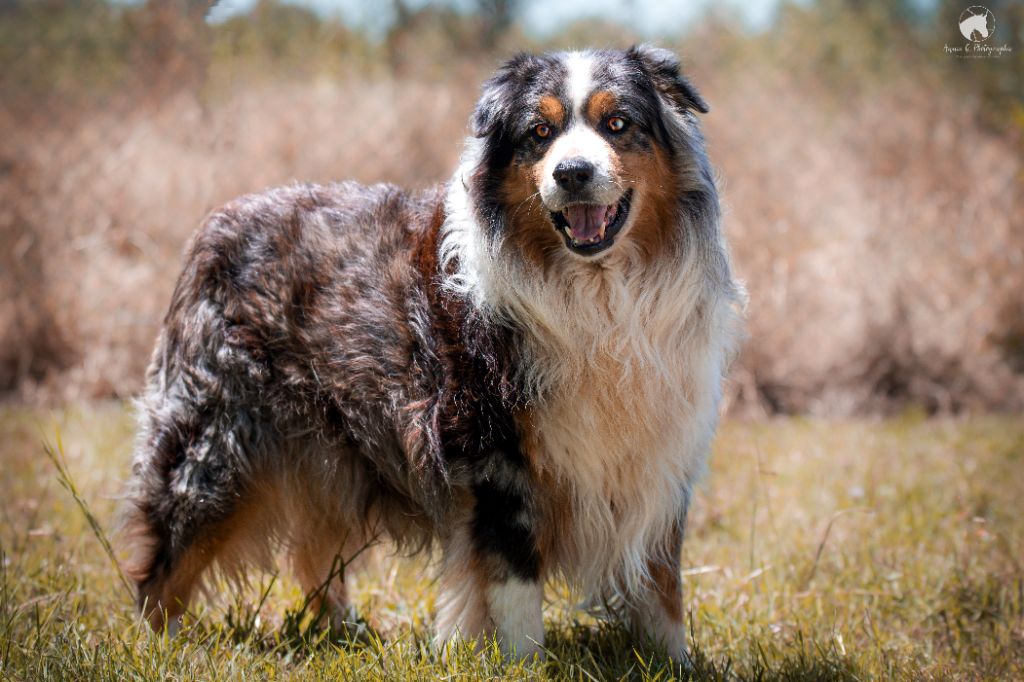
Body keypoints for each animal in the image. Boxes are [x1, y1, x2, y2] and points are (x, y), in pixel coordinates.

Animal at [119, 43, 745, 659]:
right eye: (539, 132)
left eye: (617, 123)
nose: (571, 173)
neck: (599, 292)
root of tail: (215, 224)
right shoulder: (495, 451)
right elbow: (514, 579)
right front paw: (522, 664)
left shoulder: (660, 456)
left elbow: (662, 585)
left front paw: (674, 662)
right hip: (218, 437)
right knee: (168, 553)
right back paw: (158, 645)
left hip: (327, 450)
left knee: (313, 548)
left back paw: (346, 630)